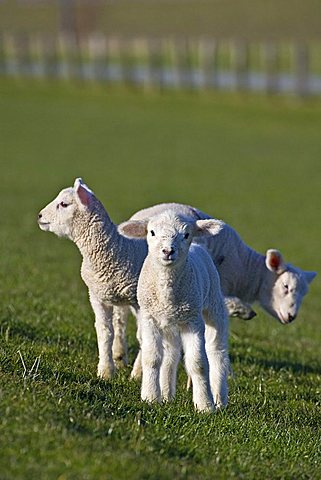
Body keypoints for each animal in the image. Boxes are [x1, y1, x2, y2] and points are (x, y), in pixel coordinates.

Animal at [37, 178, 148, 380]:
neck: (118, 250)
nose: (40, 216)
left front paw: (138, 374)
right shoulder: (97, 296)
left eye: (64, 204)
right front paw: (105, 371)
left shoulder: (140, 302)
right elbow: (104, 332)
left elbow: (145, 336)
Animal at [119, 212, 228, 410]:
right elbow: (152, 358)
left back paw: (219, 398)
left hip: (214, 304)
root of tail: (198, 246)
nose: (168, 251)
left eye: (186, 235)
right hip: (169, 323)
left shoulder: (193, 320)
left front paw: (204, 405)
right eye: (152, 232)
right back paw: (167, 394)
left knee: (217, 350)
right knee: (171, 354)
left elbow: (198, 363)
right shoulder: (149, 318)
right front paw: (150, 397)